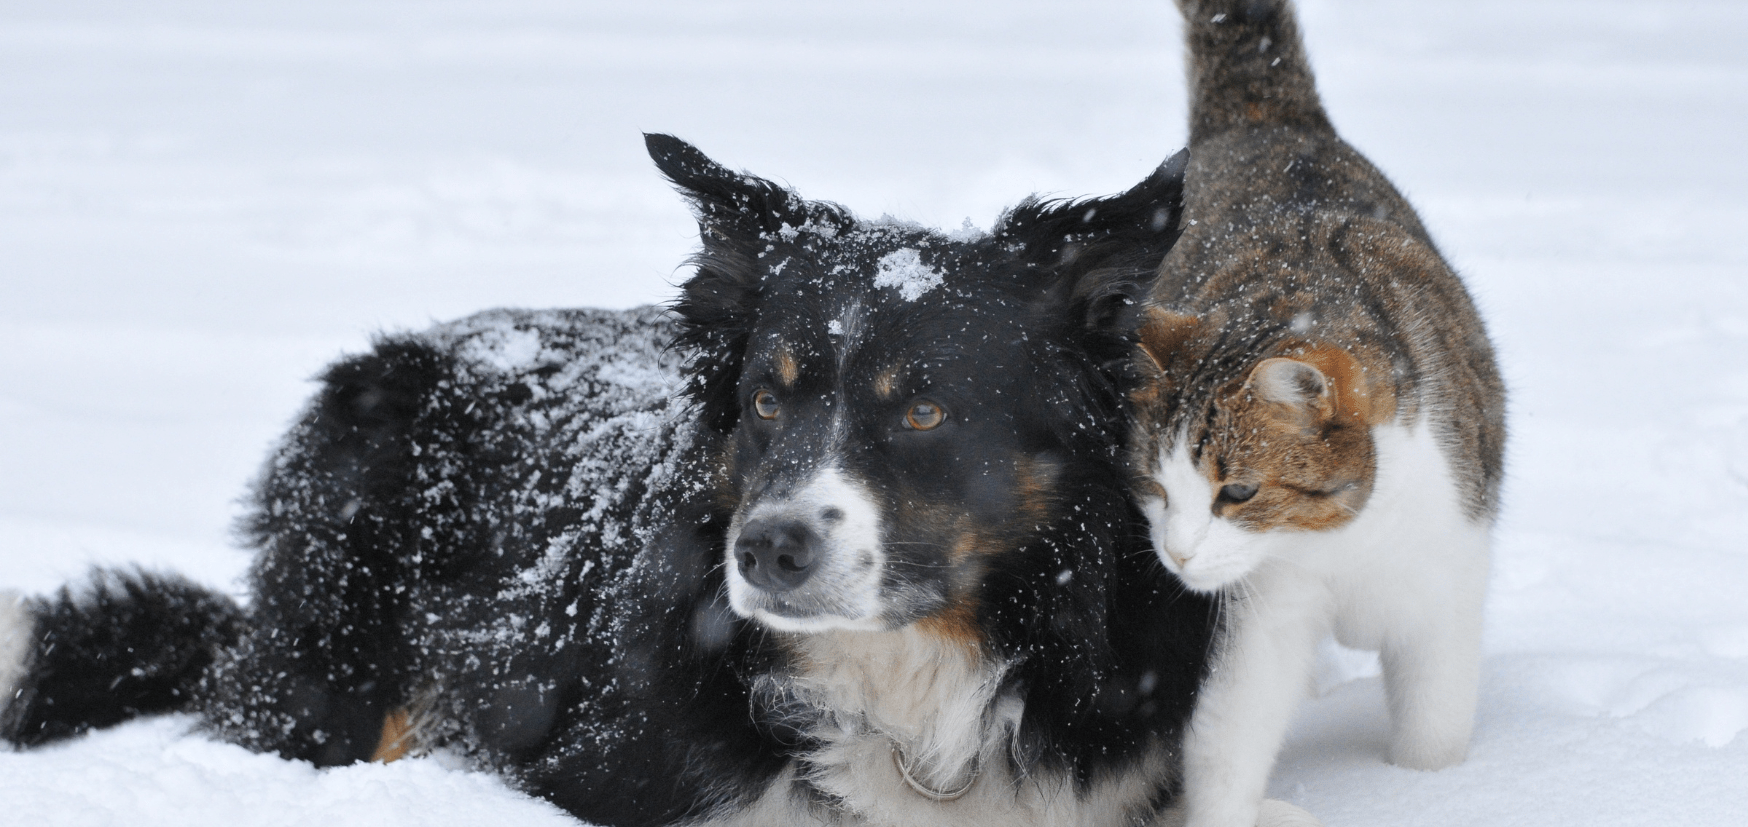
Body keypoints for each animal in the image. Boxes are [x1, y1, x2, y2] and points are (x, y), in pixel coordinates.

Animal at [1125, 1, 1510, 825]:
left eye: (1238, 490)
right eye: (1156, 487)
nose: (1176, 555)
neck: (1345, 539)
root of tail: (1268, 120)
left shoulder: (1446, 579)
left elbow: (1435, 729)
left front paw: (1433, 794)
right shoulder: (1262, 607)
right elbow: (1228, 733)